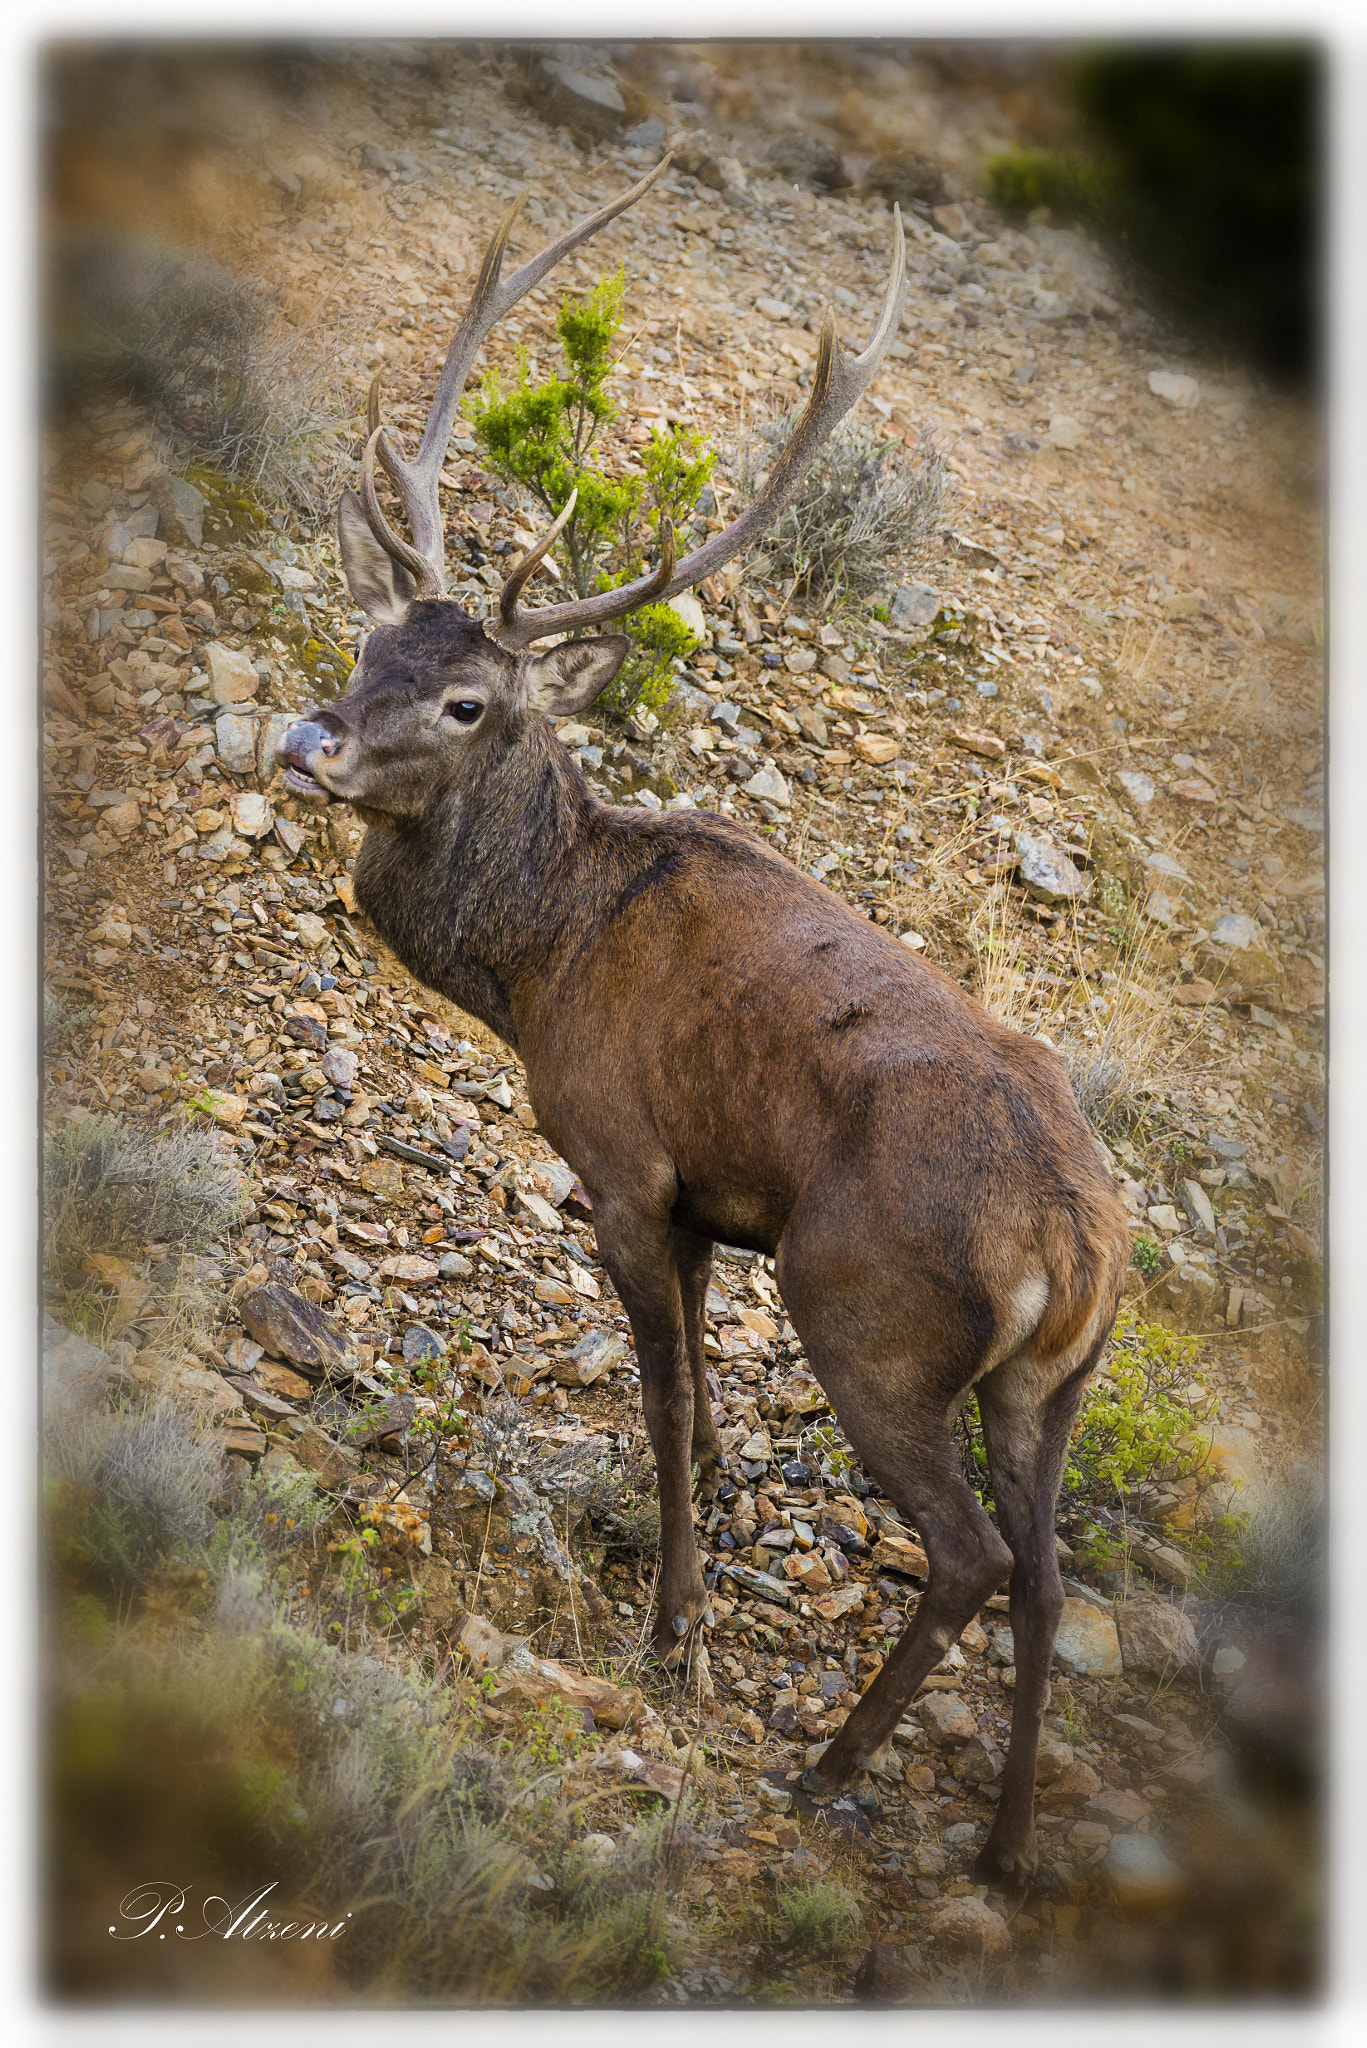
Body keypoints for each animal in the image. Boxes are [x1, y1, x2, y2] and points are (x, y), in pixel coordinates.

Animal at [278, 157, 1129, 1888]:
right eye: (369, 641)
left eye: (469, 701)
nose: (311, 743)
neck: (542, 955)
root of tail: (1075, 1243)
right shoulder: (710, 1203)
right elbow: (704, 1401)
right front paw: (722, 1508)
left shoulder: (621, 1160)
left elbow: (665, 1393)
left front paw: (672, 1625)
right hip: (1051, 1386)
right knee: (1046, 1573)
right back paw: (1000, 1848)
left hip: (866, 1309)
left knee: (962, 1555)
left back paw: (828, 1768)